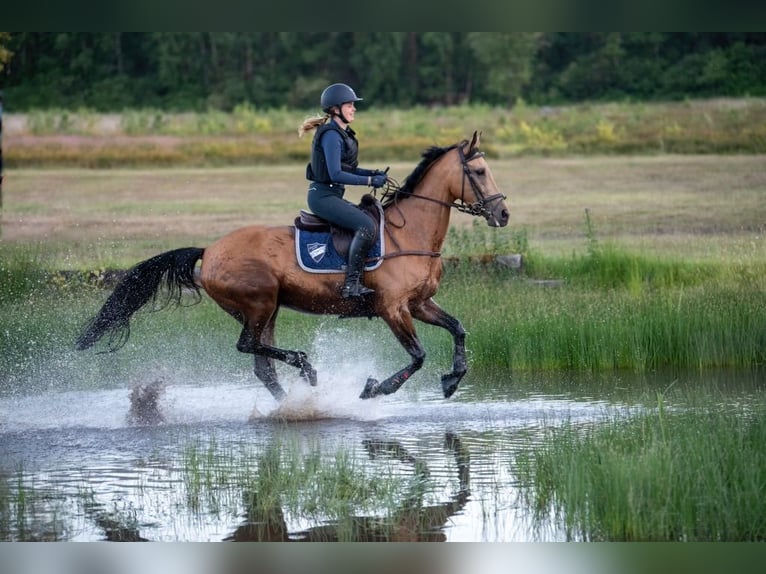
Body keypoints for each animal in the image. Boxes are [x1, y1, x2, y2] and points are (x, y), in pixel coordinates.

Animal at [76, 132, 510, 402]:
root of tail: (209, 249)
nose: (503, 214)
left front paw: (452, 380)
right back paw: (306, 368)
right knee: (250, 347)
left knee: (262, 365)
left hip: (265, 310)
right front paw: (373, 389)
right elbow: (417, 356)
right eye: (480, 172)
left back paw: (292, 404)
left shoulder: (419, 304)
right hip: (259, 303)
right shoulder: (393, 308)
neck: (412, 233)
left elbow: (458, 328)